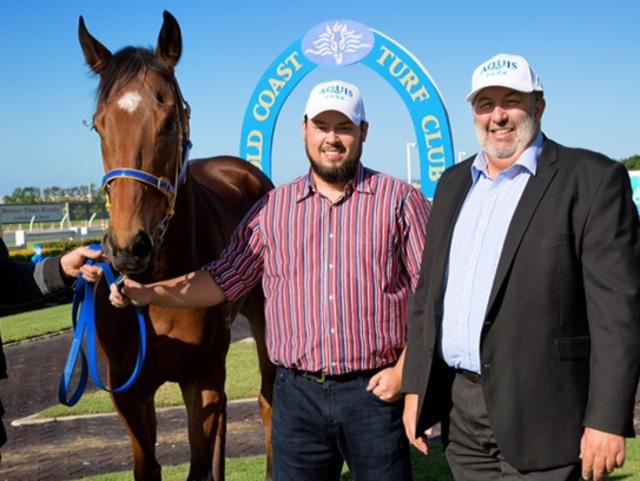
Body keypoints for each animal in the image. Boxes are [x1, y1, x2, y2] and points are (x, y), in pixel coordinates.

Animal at [76, 11, 274, 480]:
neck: (159, 287)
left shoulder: (200, 380)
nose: (128, 247)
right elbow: (149, 466)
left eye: (168, 122)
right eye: (99, 124)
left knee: (267, 403)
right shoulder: (130, 394)